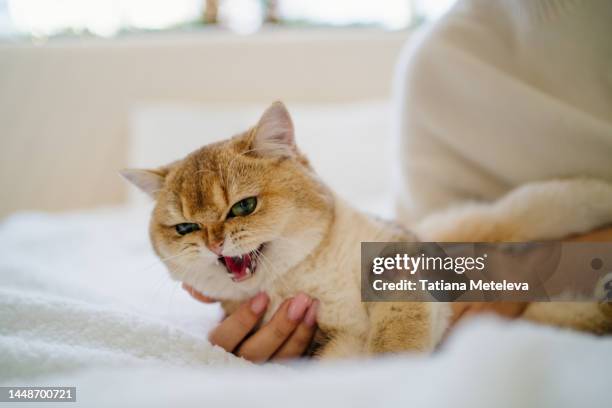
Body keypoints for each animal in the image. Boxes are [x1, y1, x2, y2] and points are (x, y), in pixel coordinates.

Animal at [122, 103, 612, 358]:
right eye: (185, 227)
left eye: (243, 206)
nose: (212, 242)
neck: (310, 273)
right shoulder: (333, 344)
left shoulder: (416, 246)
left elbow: (518, 211)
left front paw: (596, 192)